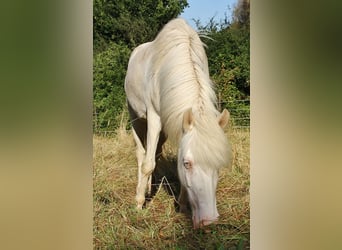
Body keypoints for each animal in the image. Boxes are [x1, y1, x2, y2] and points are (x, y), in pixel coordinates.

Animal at [124, 17, 231, 229]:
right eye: (187, 164)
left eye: (219, 165)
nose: (208, 220)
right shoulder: (154, 117)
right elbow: (147, 164)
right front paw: (139, 204)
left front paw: (181, 205)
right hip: (136, 118)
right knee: (142, 154)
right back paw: (142, 193)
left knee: (156, 154)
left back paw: (151, 188)